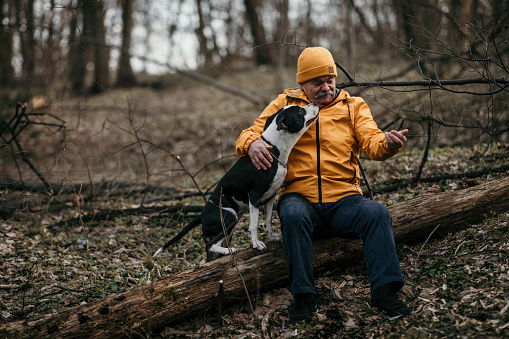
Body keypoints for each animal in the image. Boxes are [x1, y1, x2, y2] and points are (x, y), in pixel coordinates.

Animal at [153, 103, 318, 262]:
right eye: (300, 111)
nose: (315, 103)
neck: (275, 150)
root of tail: (201, 214)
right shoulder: (255, 197)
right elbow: (254, 224)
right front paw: (256, 244)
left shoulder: (271, 196)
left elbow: (268, 219)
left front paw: (272, 236)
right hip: (230, 216)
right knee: (211, 244)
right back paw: (228, 250)